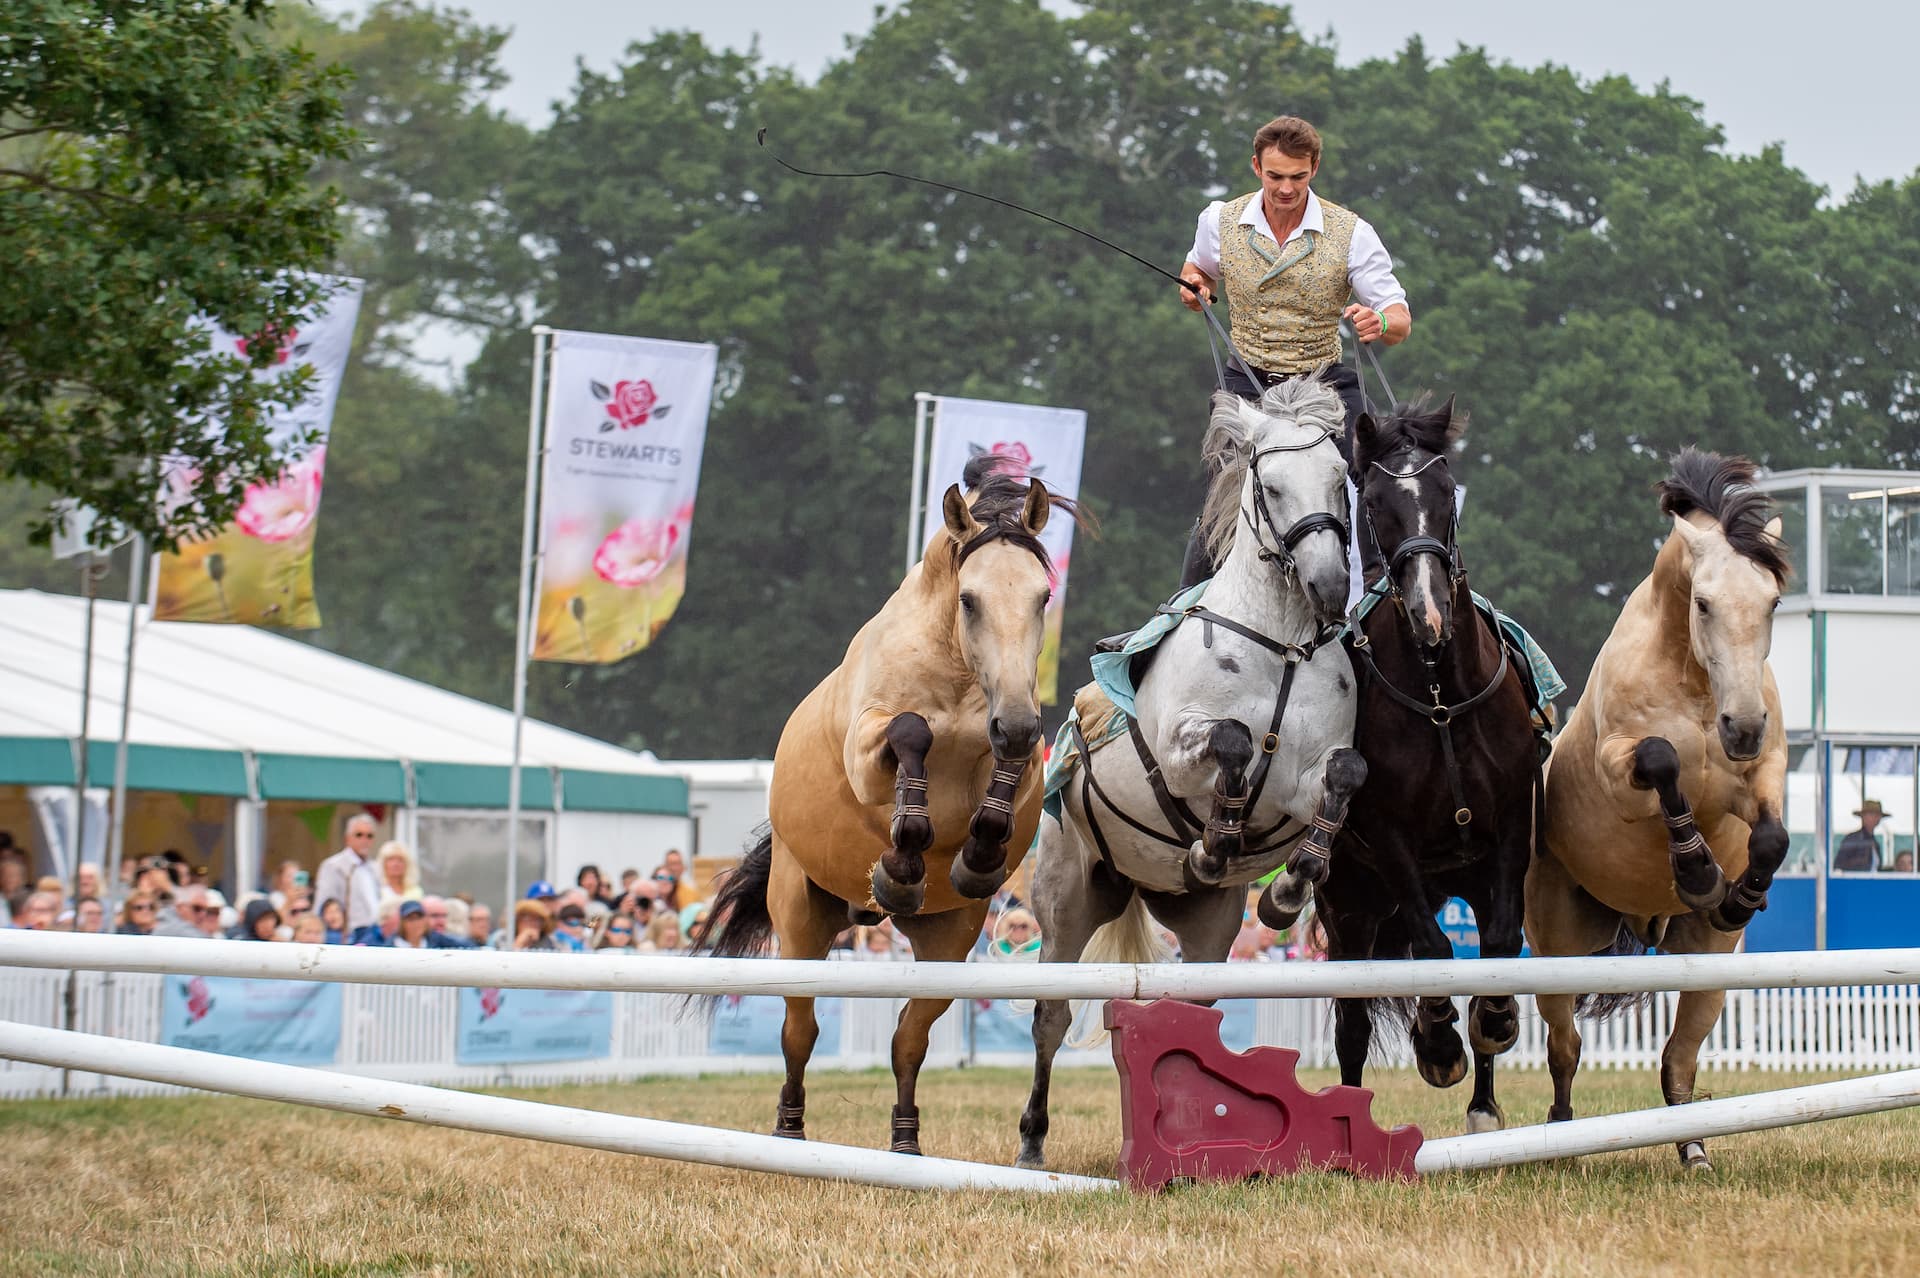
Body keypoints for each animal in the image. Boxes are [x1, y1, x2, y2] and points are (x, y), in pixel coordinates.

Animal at [702, 467, 1090, 1156]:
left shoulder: (1019, 753)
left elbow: (997, 797)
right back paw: (789, 1129)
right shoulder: (870, 743)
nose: (1017, 723)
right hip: (800, 920)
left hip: (948, 941)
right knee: (799, 1031)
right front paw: (902, 862)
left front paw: (974, 861)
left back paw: (906, 1142)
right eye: (970, 600)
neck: (957, 675)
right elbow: (911, 736)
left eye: (1044, 597)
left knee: (909, 1034)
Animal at [1015, 378, 1367, 1171]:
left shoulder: (1305, 778)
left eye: (1341, 479)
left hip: (1206, 930)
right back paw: (1031, 1140)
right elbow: (1232, 743)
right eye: (1272, 485)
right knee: (1049, 1016)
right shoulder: (1182, 751)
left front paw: (1289, 890)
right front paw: (1214, 845)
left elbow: (1344, 774)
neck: (1280, 646)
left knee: (1193, 1011)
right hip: (1065, 902)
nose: (1330, 586)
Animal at [1283, 396, 1547, 1134]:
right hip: (1351, 907)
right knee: (1350, 1029)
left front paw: (1494, 1022)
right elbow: (1432, 951)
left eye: (1446, 493)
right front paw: (1437, 1042)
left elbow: (1499, 947)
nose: (1430, 611)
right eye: (1374, 503)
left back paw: (1483, 1104)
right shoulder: (1392, 841)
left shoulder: (1510, 834)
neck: (1439, 698)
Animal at [1527, 448, 1790, 1171]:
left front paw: (1735, 893)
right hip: (1556, 950)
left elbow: (1773, 837)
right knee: (1565, 1050)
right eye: (1703, 603)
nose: (1742, 727)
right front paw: (1697, 870)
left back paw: (1694, 1150)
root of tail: (1644, 926)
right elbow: (1661, 760)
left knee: (1678, 1060)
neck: (1697, 685)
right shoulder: (1622, 772)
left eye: (1773, 602)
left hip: (1708, 967)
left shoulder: (1762, 774)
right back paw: (1562, 1142)